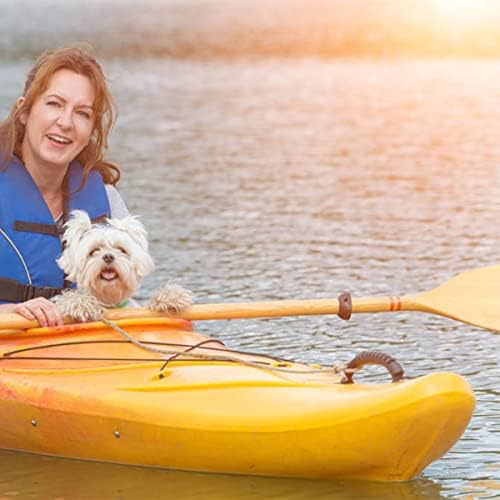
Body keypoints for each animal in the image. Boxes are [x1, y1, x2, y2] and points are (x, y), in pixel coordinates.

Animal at [53, 210, 192, 320]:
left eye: (121, 249)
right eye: (94, 251)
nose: (108, 256)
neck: (111, 303)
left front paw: (171, 297)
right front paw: (80, 304)